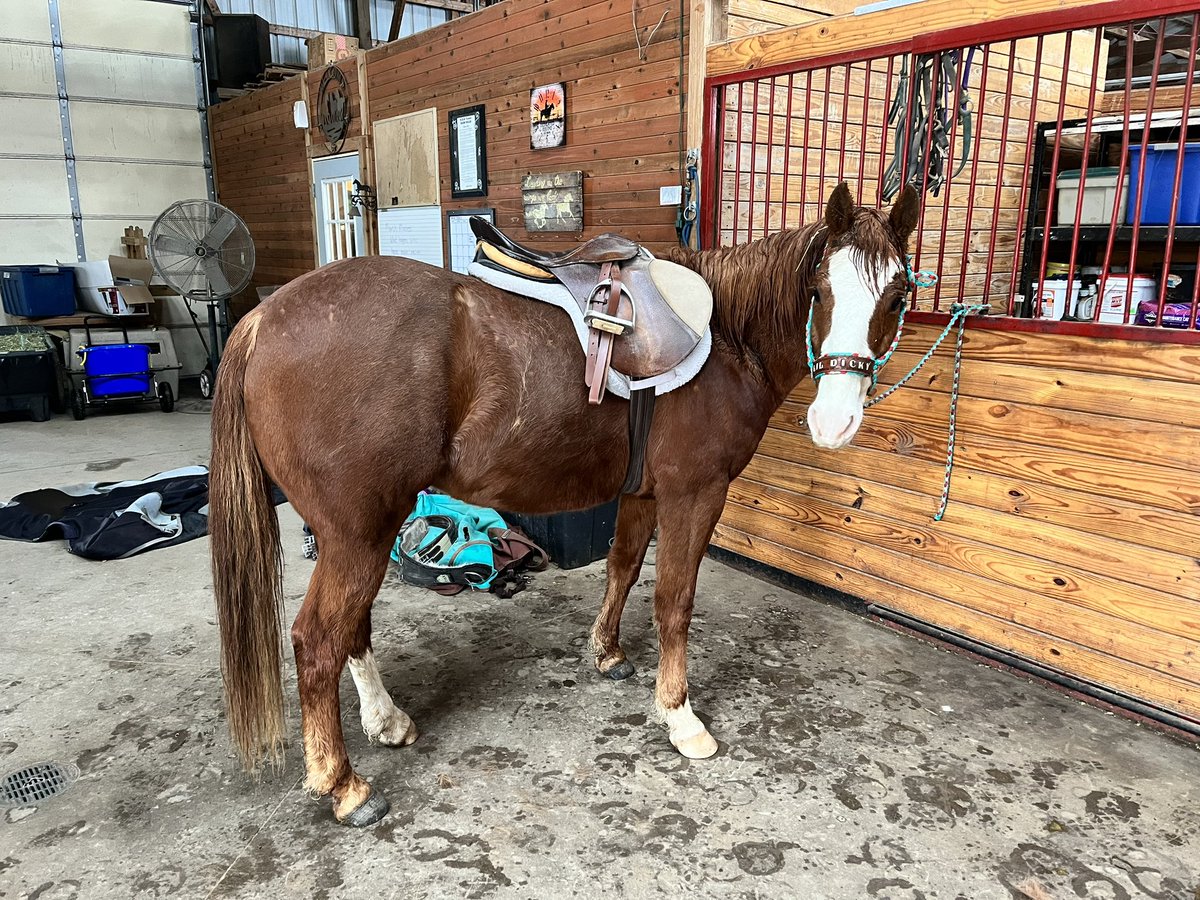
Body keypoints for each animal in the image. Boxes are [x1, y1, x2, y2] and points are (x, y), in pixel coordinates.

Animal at [209, 182, 920, 826]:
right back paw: (344, 787)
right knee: (317, 641)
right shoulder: (695, 493)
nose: (834, 423)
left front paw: (606, 654)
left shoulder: (643, 492)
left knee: (350, 631)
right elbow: (675, 602)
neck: (724, 337)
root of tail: (261, 320)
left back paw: (386, 721)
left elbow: (624, 568)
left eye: (897, 295)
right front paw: (680, 716)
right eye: (820, 291)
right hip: (360, 532)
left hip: (357, 532)